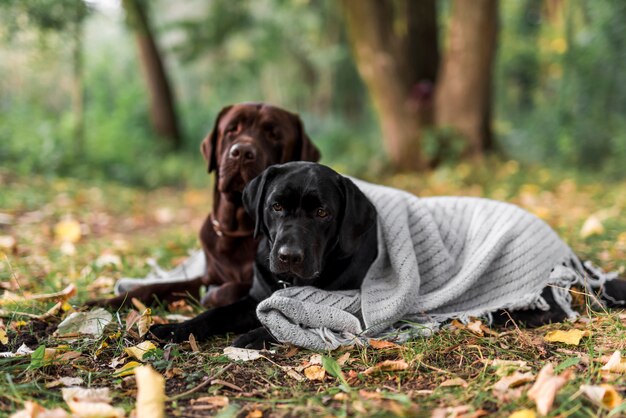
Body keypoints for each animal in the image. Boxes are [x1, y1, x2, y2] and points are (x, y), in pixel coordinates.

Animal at [150, 162, 376, 348]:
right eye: (277, 206)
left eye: (322, 212)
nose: (289, 256)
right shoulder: (253, 300)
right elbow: (216, 313)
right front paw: (174, 329)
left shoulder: (350, 309)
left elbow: (292, 317)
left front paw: (255, 336)